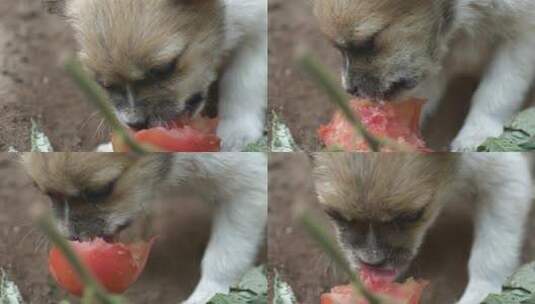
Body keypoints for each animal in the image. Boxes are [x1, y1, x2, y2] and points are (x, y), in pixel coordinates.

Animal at [23, 153, 268, 304]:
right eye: (46, 194)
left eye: (100, 191)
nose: (70, 238)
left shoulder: (249, 185)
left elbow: (225, 256)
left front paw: (206, 294)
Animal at [43, 0, 268, 152]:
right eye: (103, 84)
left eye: (164, 68)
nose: (135, 124)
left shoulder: (255, 32)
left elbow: (243, 84)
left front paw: (237, 131)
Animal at [312, 153, 532, 304]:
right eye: (335, 215)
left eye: (412, 216)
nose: (372, 263)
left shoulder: (503, 175)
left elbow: (490, 257)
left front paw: (479, 293)